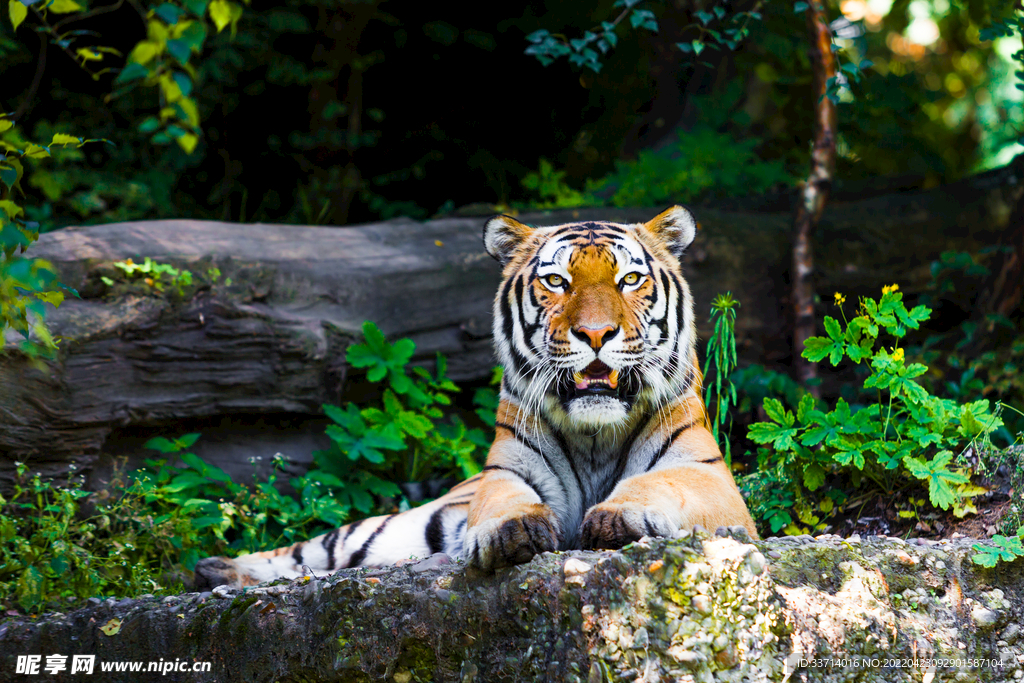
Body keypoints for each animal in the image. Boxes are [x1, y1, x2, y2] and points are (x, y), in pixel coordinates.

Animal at [193, 205, 757, 589]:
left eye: (631, 279)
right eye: (557, 281)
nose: (596, 334)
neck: (595, 435)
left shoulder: (709, 477)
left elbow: (662, 482)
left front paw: (619, 516)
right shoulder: (504, 472)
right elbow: (506, 500)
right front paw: (514, 529)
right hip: (399, 525)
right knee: (312, 550)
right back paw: (218, 570)